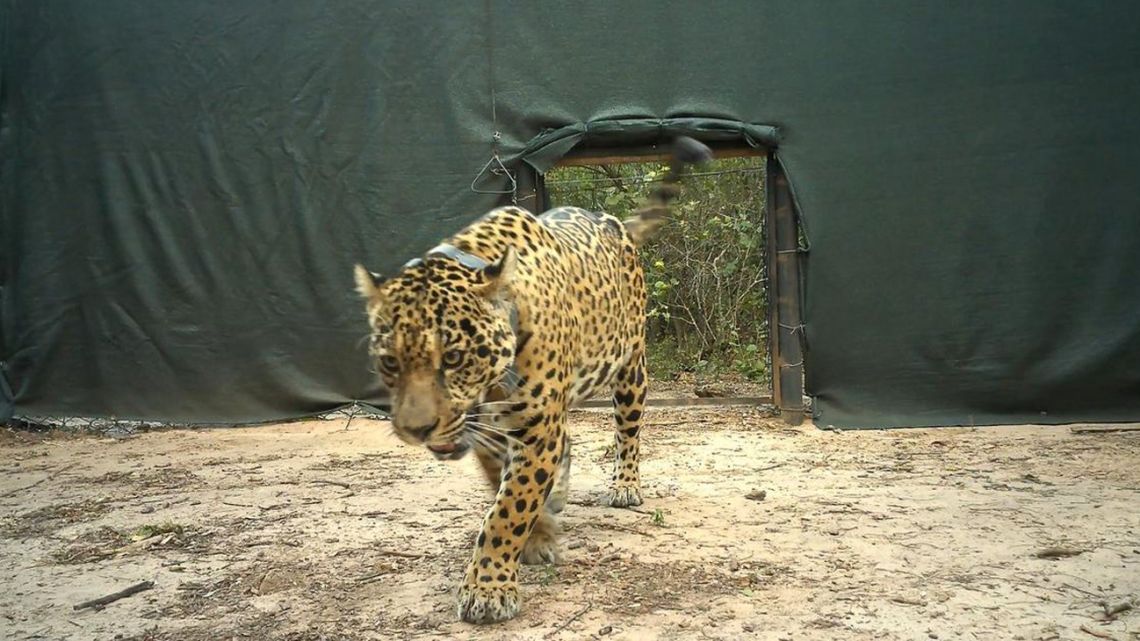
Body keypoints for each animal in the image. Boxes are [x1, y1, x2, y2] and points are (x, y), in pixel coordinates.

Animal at [353, 137, 712, 624]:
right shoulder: (493, 435)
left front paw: (487, 589)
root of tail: (614, 222)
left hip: (630, 368)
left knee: (628, 432)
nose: (417, 430)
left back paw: (625, 486)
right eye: (390, 362)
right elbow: (504, 491)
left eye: (453, 357)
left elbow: (508, 509)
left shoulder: (537, 427)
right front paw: (538, 536)